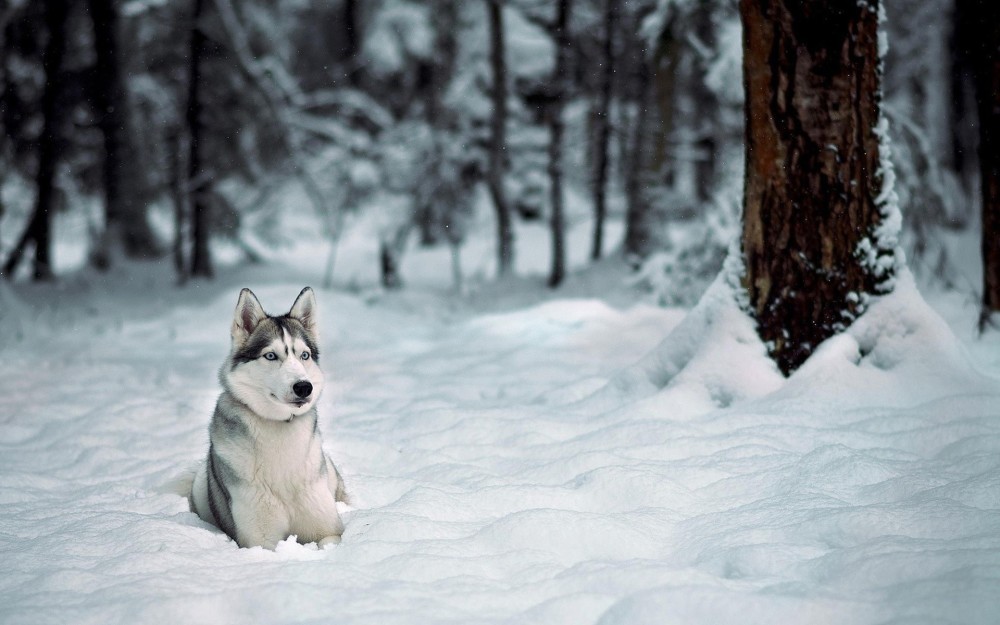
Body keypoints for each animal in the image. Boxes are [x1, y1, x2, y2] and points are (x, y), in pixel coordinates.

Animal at [190, 286, 348, 548]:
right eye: (271, 356)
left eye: (304, 355)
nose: (303, 387)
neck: (280, 426)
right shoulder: (259, 541)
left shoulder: (329, 531)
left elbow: (329, 539)